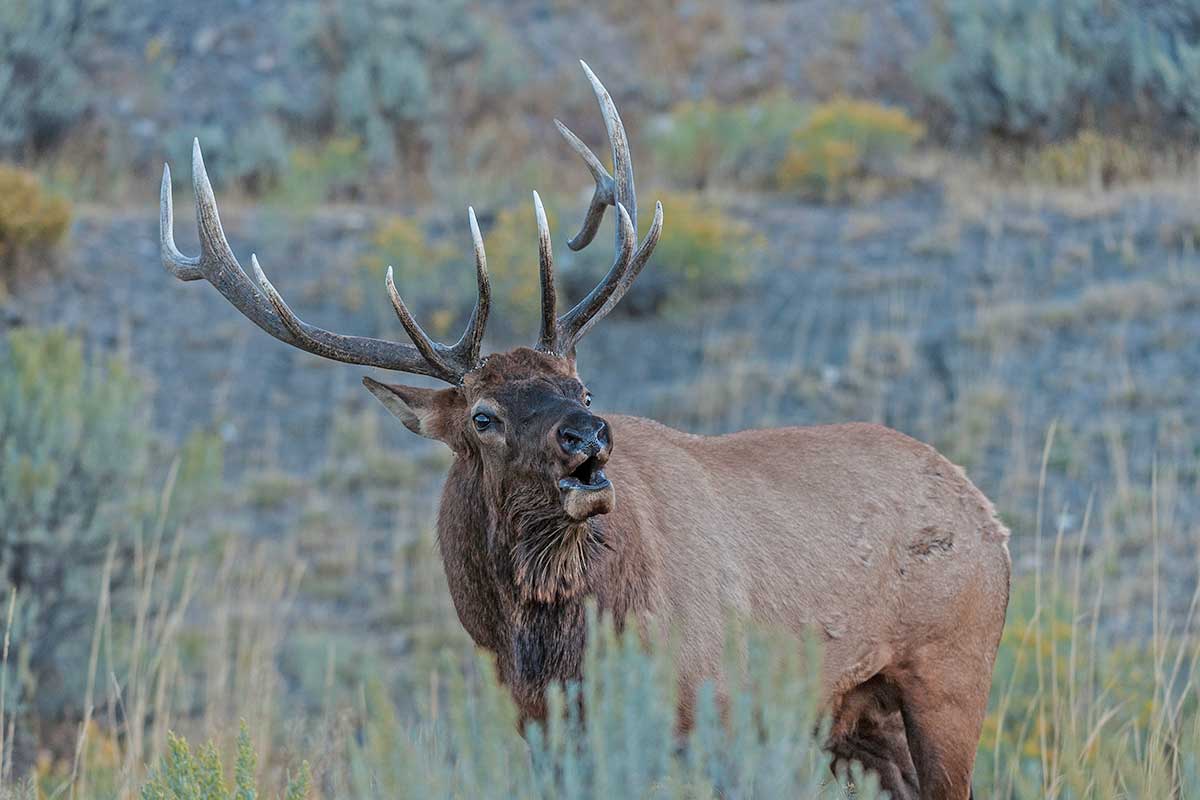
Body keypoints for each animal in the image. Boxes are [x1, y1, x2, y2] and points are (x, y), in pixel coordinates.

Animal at [154, 61, 1008, 796]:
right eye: (483, 416)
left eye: (583, 384)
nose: (588, 438)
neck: (554, 652)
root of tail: (989, 515)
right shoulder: (542, 731)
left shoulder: (715, 710)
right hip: (859, 717)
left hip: (951, 672)